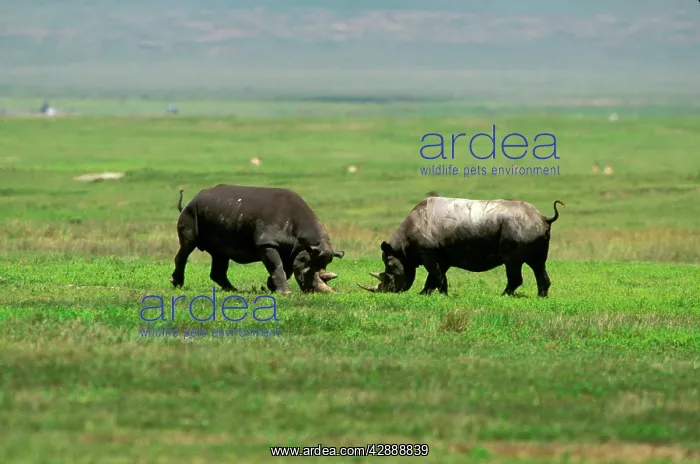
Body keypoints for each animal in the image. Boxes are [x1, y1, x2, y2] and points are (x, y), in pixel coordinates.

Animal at [171, 184, 344, 294]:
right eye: (308, 271)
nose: (315, 291)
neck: (305, 243)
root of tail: (194, 198)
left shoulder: (292, 250)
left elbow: (284, 269)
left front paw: (271, 286)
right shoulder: (267, 243)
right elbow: (278, 266)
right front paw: (285, 293)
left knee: (220, 253)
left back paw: (233, 290)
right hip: (191, 211)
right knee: (188, 246)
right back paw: (176, 284)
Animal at [358, 197, 565, 297]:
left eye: (389, 273)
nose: (386, 292)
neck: (402, 251)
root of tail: (543, 218)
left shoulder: (428, 253)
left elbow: (435, 274)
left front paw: (435, 295)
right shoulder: (442, 256)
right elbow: (437, 276)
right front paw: (430, 294)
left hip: (518, 230)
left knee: (513, 263)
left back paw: (503, 295)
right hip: (530, 229)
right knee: (538, 264)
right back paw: (541, 297)